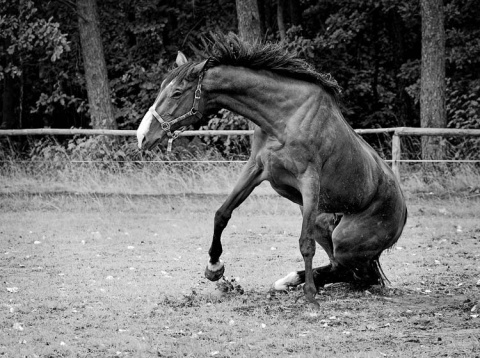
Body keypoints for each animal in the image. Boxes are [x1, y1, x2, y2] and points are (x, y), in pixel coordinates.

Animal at [137, 33, 406, 306]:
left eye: (177, 93)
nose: (142, 137)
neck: (286, 116)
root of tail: (403, 212)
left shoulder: (309, 181)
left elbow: (305, 243)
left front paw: (310, 296)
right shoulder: (256, 169)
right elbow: (222, 214)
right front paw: (214, 267)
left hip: (344, 241)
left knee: (358, 274)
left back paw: (298, 282)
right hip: (324, 222)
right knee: (346, 270)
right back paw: (286, 281)